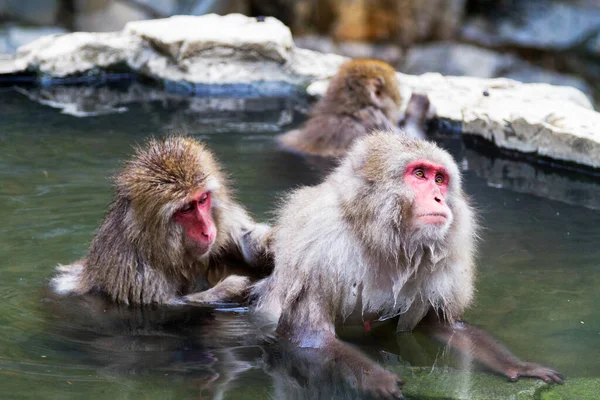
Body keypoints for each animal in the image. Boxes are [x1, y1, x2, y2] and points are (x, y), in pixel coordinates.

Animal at [51, 136, 272, 304]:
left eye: (202, 200)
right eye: (186, 209)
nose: (207, 231)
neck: (156, 248)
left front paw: (266, 245)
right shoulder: (136, 273)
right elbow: (168, 307)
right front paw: (231, 288)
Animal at [255, 130, 564, 396]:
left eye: (439, 179)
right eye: (419, 174)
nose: (439, 198)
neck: (379, 237)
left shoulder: (447, 256)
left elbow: (443, 325)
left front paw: (517, 366)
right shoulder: (315, 248)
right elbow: (313, 338)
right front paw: (376, 377)